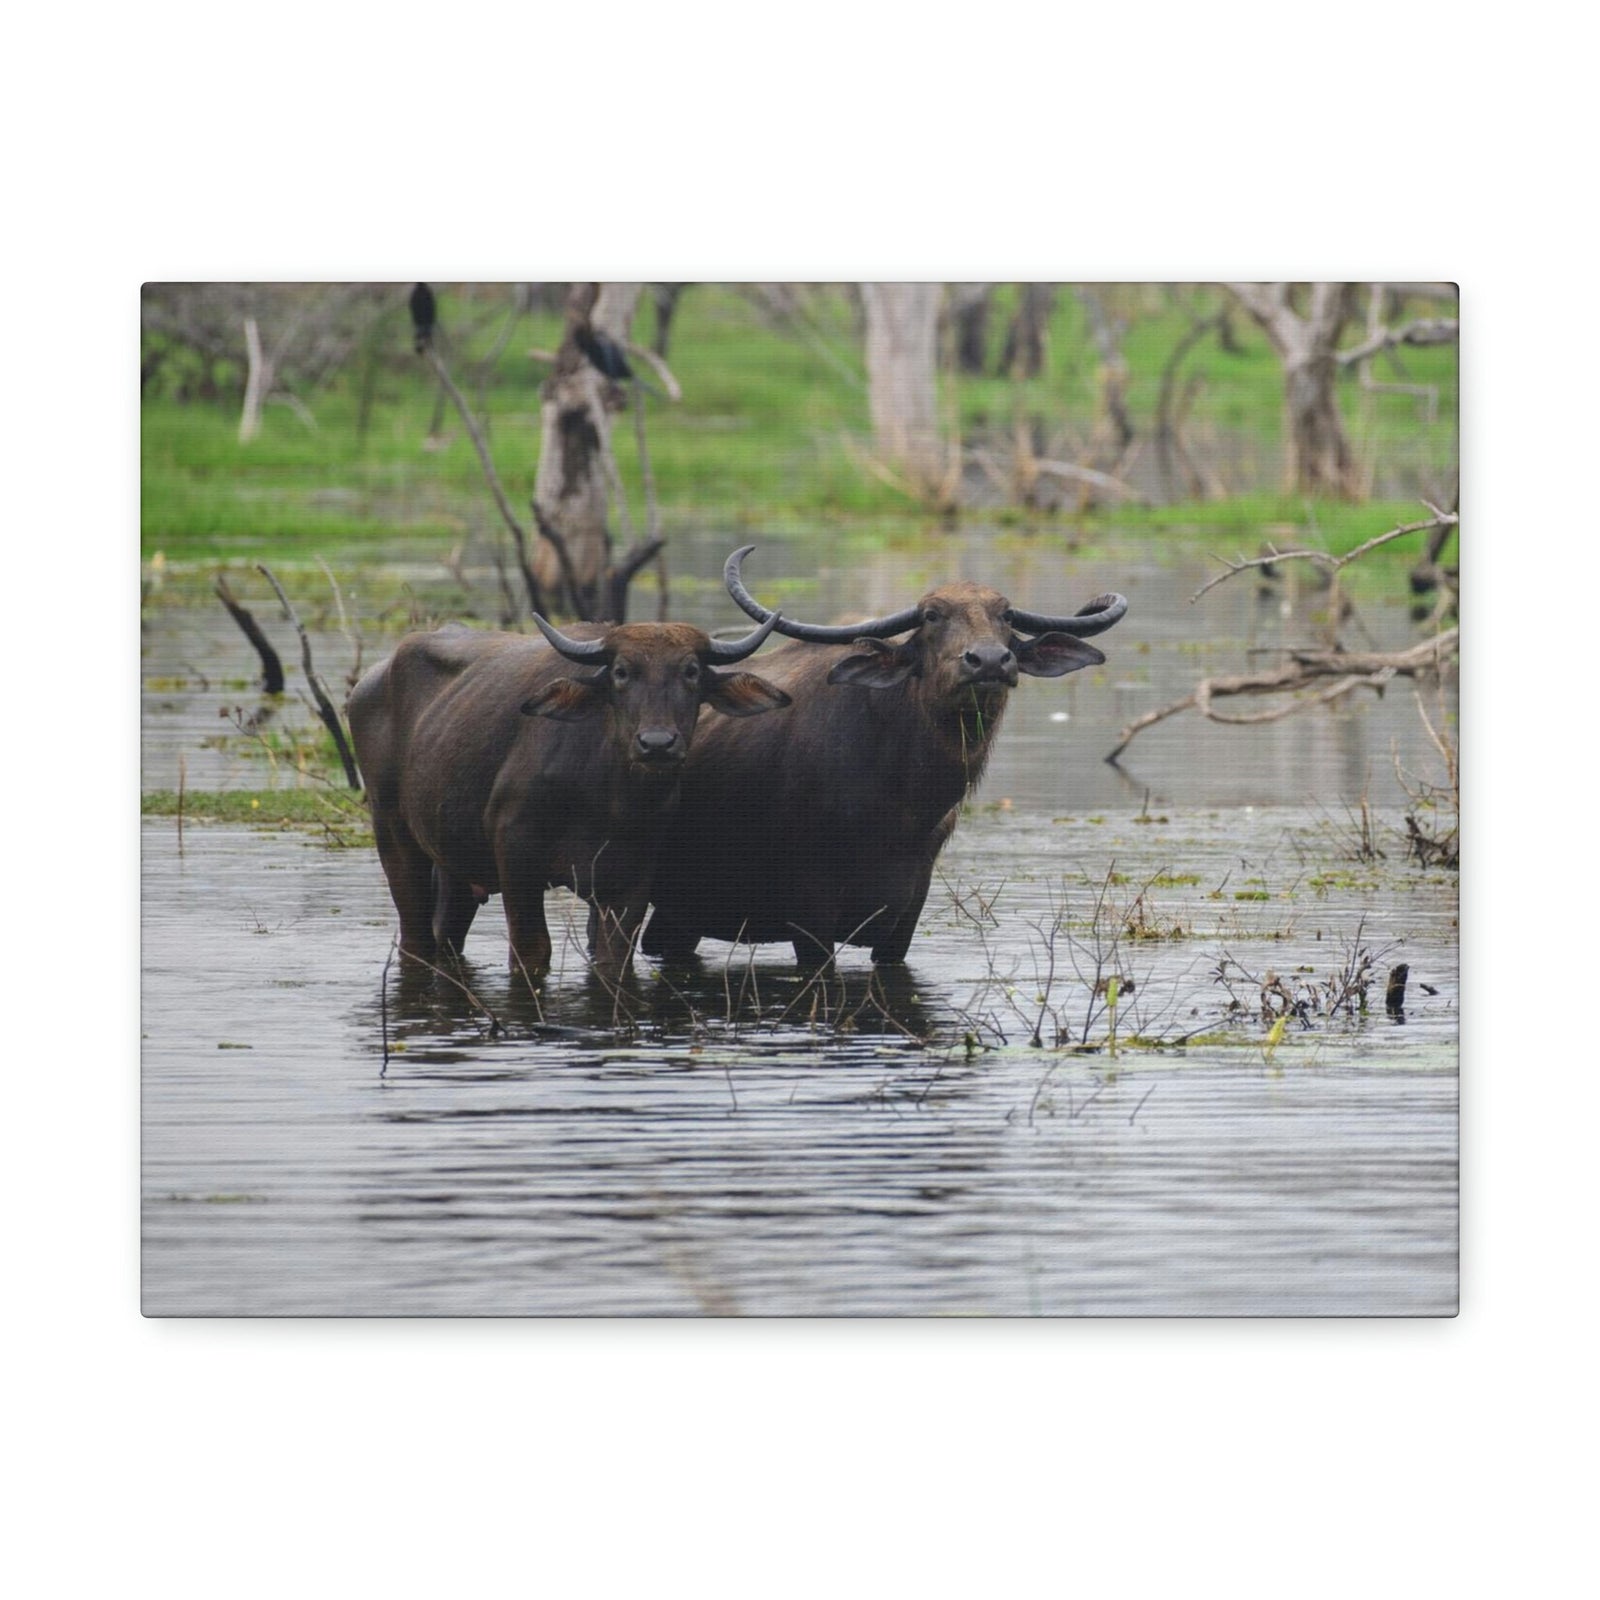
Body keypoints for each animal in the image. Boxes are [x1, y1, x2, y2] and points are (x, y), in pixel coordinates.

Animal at [348, 610, 791, 980]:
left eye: (692, 670)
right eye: (621, 672)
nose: (657, 744)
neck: (608, 797)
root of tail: (368, 683)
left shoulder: (632, 878)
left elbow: (614, 960)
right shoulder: (516, 861)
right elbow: (532, 953)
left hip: (453, 861)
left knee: (445, 935)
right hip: (393, 833)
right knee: (416, 939)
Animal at [639, 547, 1128, 967]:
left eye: (1005, 614)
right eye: (932, 616)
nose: (989, 661)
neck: (900, 805)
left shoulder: (905, 918)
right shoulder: (810, 916)